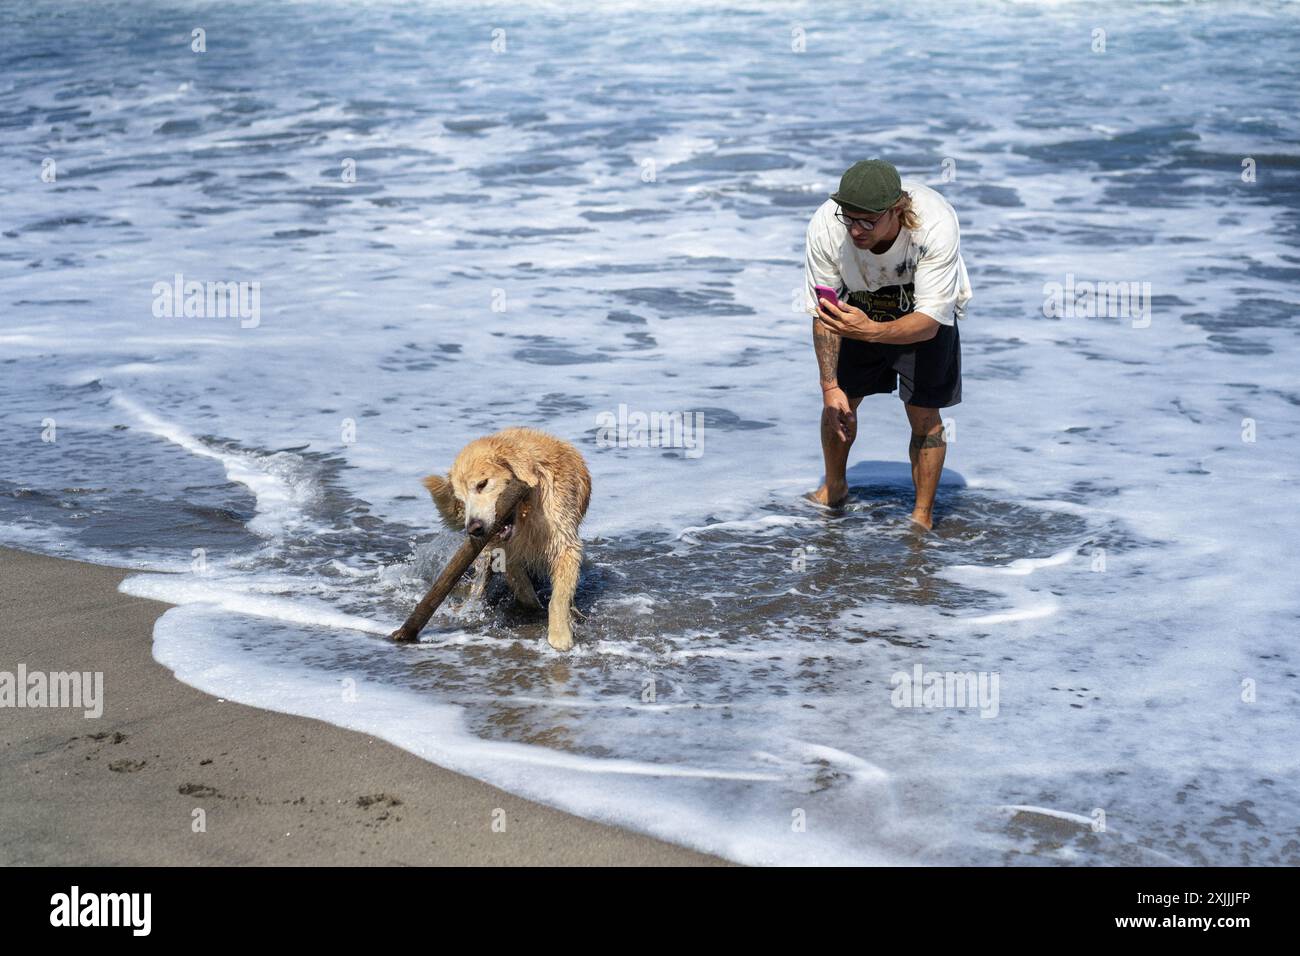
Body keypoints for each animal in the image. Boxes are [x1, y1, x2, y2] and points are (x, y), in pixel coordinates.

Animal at [423, 429, 592, 647]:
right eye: (461, 499)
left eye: (482, 484)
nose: (474, 528)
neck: (526, 511)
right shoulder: (505, 552)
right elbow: (522, 587)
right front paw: (534, 609)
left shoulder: (564, 543)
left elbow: (559, 597)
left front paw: (560, 634)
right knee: (480, 583)